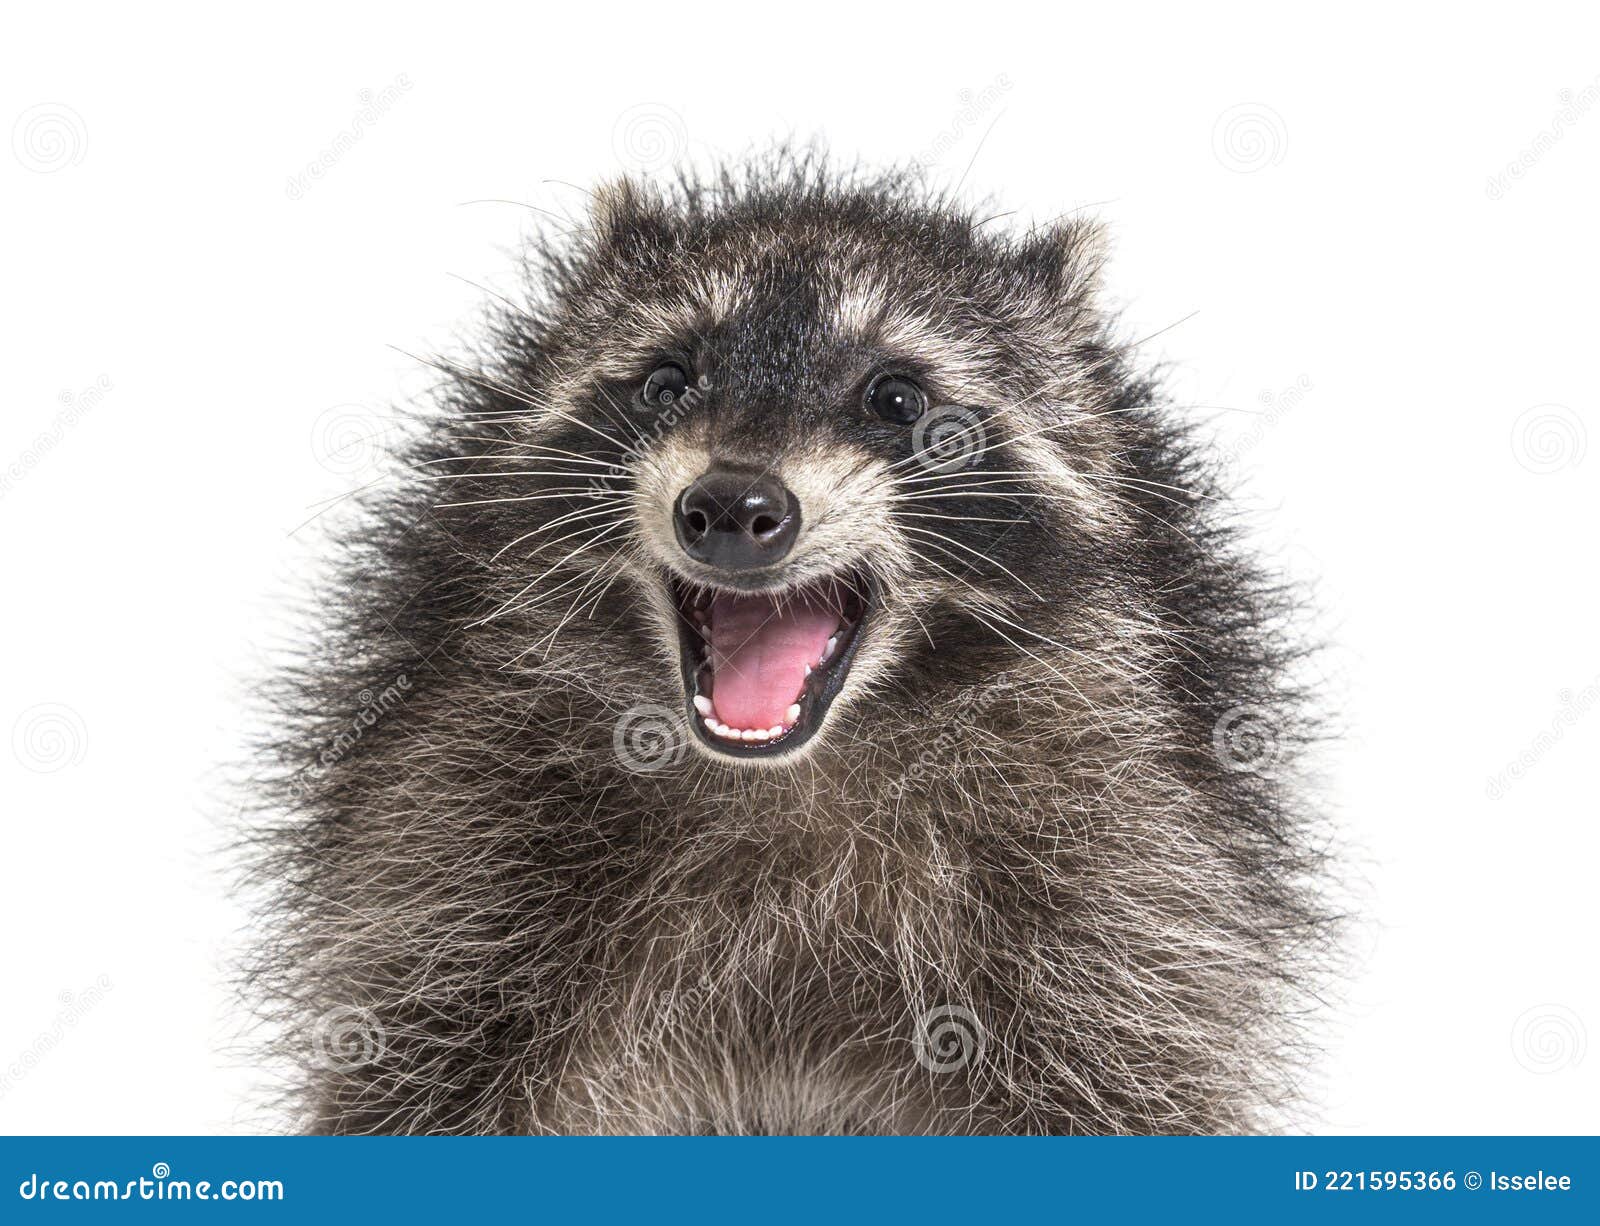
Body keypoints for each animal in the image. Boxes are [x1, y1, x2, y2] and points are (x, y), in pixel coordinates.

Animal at [247, 155, 1329, 1135]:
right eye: (667, 381)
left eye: (896, 399)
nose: (732, 506)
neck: (782, 774)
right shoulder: (453, 858)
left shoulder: (1119, 897)